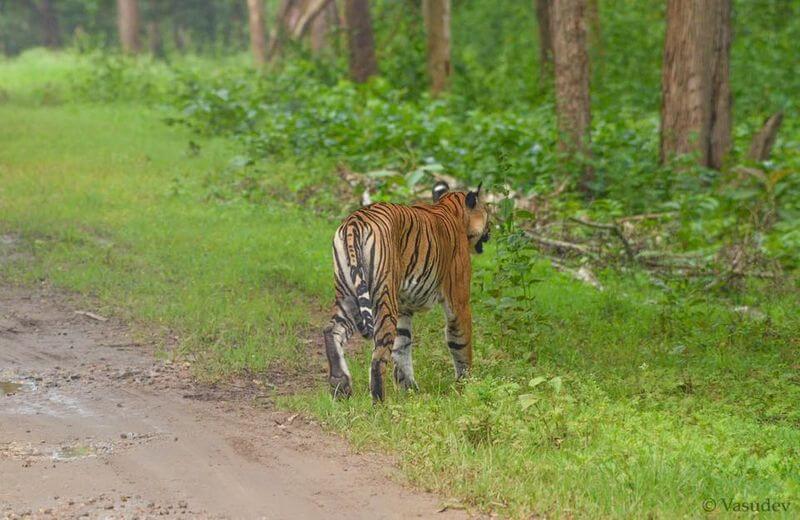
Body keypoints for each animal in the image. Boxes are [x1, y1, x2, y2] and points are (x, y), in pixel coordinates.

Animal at [324, 182, 488, 402]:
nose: (490, 231)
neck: (450, 208)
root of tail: (354, 222)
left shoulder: (404, 308)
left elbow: (402, 348)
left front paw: (409, 390)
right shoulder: (459, 301)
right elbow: (461, 344)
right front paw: (466, 386)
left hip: (347, 295)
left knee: (331, 331)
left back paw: (341, 387)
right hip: (383, 299)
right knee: (378, 355)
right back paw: (379, 402)